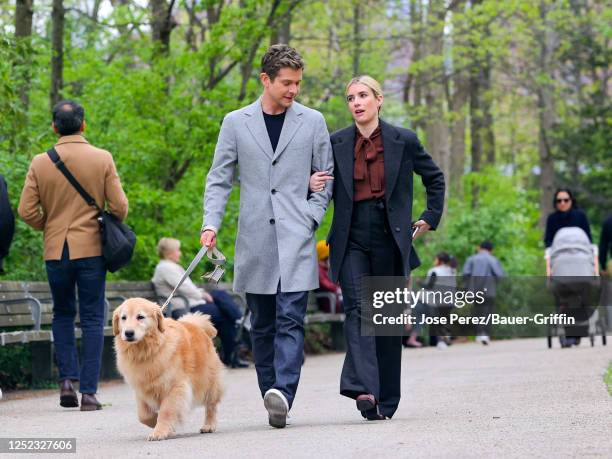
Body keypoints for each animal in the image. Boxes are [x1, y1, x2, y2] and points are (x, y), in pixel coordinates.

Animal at [112, 298, 222, 442]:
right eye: (123, 318)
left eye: (140, 317)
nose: (128, 333)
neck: (147, 350)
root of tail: (194, 324)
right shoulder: (141, 388)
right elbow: (143, 415)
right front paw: (155, 423)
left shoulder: (174, 387)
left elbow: (166, 411)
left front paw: (160, 431)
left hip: (209, 382)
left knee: (211, 406)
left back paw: (209, 425)